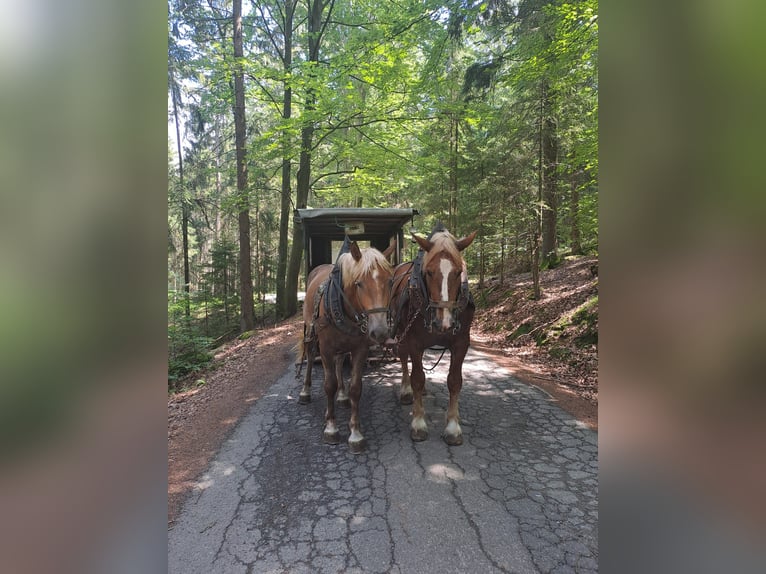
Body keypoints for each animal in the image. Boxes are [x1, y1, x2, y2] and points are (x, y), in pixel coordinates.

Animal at [302, 241, 396, 452]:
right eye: (359, 283)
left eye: (389, 282)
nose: (380, 332)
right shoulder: (326, 349)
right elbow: (329, 385)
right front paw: (331, 427)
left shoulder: (360, 348)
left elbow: (356, 388)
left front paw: (355, 433)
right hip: (311, 331)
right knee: (310, 356)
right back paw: (305, 391)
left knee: (339, 362)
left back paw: (342, 396)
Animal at [392, 225, 476, 446]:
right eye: (429, 272)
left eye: (459, 272)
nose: (443, 323)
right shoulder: (413, 341)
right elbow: (417, 378)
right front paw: (418, 424)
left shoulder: (461, 342)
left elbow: (454, 381)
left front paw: (453, 427)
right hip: (401, 334)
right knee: (404, 360)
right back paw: (406, 391)